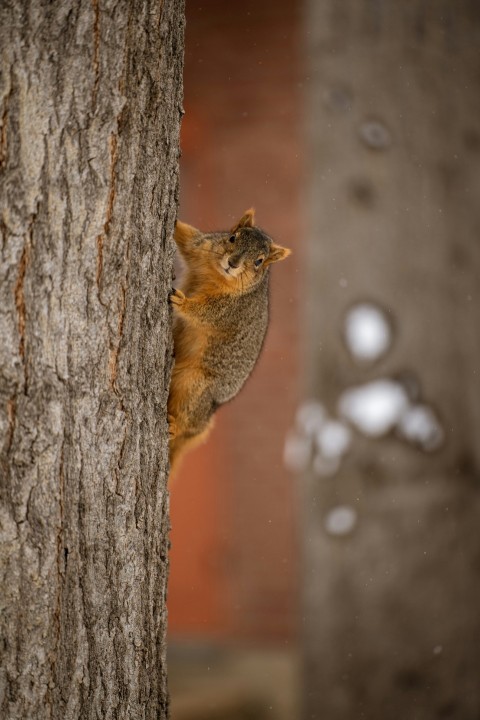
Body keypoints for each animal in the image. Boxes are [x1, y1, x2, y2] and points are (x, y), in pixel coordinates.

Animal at [167, 210, 290, 478]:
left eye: (259, 261)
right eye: (232, 237)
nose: (232, 263)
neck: (217, 274)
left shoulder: (229, 310)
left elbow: (205, 313)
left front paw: (182, 303)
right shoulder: (201, 247)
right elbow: (186, 237)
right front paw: (174, 222)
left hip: (195, 386)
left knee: (188, 421)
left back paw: (173, 425)